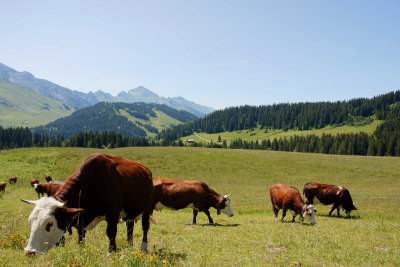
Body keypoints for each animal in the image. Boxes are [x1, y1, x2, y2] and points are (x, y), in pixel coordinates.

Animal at [21, 153, 153, 255]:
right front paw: (81, 250)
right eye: (30, 222)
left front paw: (112, 251)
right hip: (130, 212)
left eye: (49, 224)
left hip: (146, 211)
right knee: (130, 228)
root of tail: (146, 170)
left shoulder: (112, 214)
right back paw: (129, 245)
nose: (30, 252)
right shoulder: (81, 217)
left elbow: (111, 233)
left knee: (145, 227)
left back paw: (143, 247)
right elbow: (81, 236)